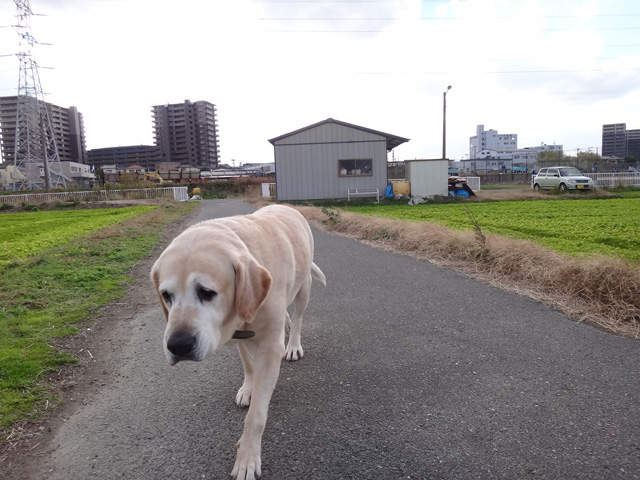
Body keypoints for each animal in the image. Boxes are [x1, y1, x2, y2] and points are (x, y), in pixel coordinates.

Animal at [148, 204, 322, 478]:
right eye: (166, 295)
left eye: (206, 292)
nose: (178, 345)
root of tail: (285, 206)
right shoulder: (238, 336)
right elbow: (248, 365)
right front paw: (248, 388)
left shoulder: (270, 349)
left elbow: (256, 415)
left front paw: (247, 458)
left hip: (304, 287)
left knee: (298, 317)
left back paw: (293, 344)